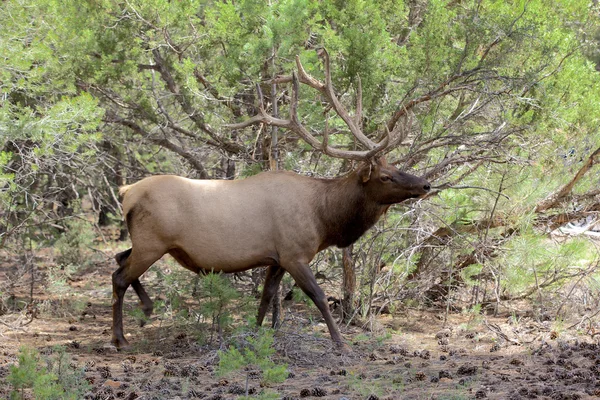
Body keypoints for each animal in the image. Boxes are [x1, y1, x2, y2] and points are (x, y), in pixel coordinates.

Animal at [111, 50, 432, 350]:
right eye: (385, 177)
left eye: (396, 167)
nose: (425, 184)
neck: (324, 219)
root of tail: (126, 192)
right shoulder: (294, 253)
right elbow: (319, 296)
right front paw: (340, 341)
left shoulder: (275, 258)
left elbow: (266, 297)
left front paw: (255, 333)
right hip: (153, 242)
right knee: (119, 276)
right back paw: (121, 337)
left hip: (149, 242)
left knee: (119, 258)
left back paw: (146, 309)